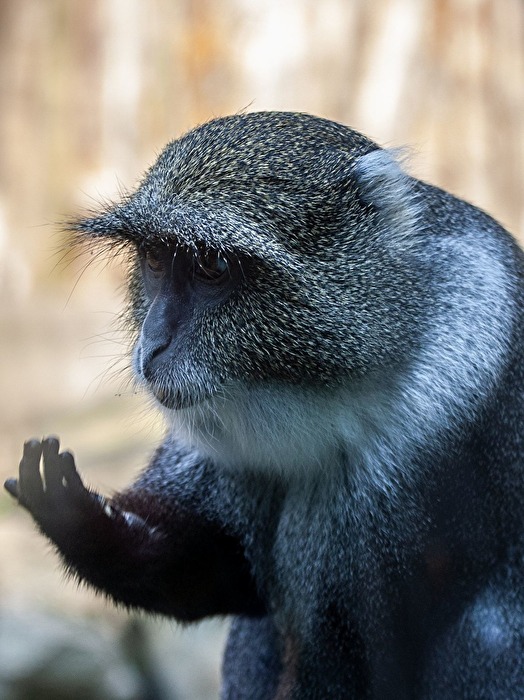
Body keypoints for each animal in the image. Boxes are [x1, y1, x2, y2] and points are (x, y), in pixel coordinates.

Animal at [5, 111, 524, 699]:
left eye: (211, 263)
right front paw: (78, 518)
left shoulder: (442, 410)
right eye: (156, 258)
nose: (151, 346)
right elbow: (225, 570)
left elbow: (350, 661)